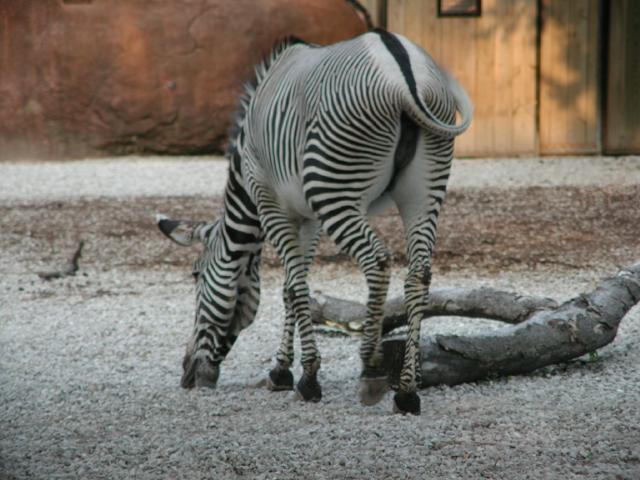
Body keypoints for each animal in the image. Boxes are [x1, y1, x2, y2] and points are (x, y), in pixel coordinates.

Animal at [157, 29, 472, 415]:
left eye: (196, 275)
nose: (187, 375)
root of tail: (403, 73)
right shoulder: (307, 218)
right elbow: (292, 286)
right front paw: (282, 371)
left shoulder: (271, 205)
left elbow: (295, 288)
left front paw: (306, 378)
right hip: (424, 191)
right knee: (418, 276)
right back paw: (408, 391)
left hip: (336, 191)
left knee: (377, 262)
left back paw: (371, 368)